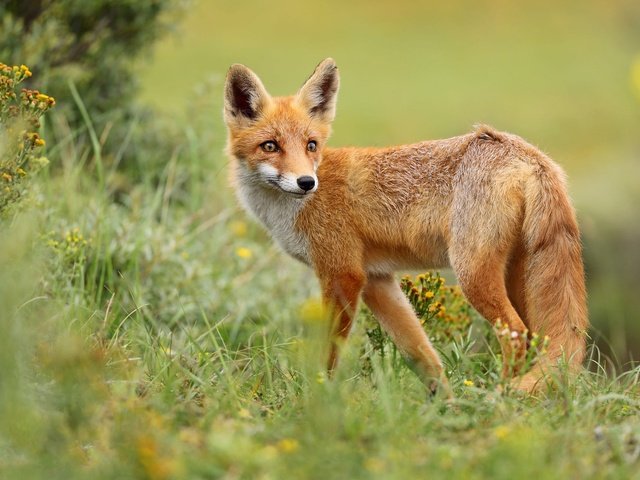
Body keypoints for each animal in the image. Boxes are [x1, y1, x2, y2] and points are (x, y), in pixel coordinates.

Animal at [222, 58, 588, 396]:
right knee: (536, 338)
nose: (306, 182)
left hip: (472, 273)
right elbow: (421, 355)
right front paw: (445, 404)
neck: (294, 209)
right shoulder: (376, 280)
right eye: (270, 146)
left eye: (311, 145)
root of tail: (527, 153)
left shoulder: (342, 274)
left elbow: (329, 353)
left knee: (515, 334)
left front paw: (317, 397)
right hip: (517, 276)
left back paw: (501, 396)